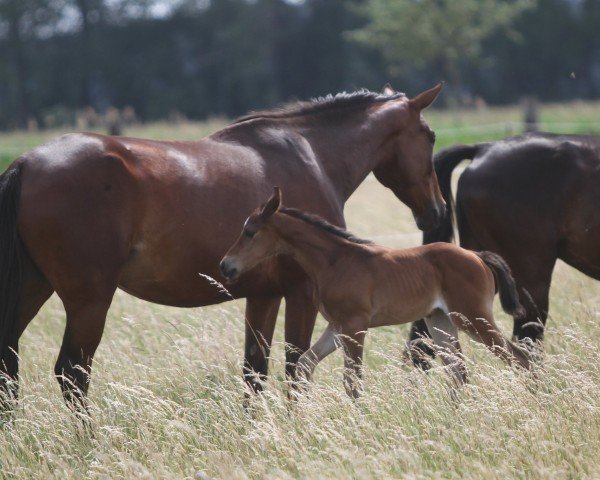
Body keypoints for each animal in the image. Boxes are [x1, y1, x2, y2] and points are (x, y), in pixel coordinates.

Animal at [0, 82, 446, 408]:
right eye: (430, 136)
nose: (438, 211)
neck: (311, 156)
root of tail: (25, 163)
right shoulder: (301, 292)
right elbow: (295, 368)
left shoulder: (264, 295)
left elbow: (255, 371)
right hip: (89, 301)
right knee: (73, 373)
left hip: (32, 290)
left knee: (9, 367)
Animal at [219, 188, 528, 398]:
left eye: (250, 232)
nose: (225, 266)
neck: (335, 261)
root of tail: (478, 256)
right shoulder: (337, 327)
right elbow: (305, 364)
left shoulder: (356, 326)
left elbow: (352, 381)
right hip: (440, 321)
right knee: (459, 371)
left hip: (473, 317)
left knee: (518, 357)